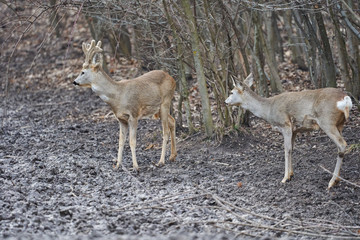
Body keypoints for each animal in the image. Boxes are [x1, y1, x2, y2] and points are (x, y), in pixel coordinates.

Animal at [72, 39, 176, 171]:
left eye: (83, 72)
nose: (74, 82)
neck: (118, 96)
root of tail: (173, 79)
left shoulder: (133, 114)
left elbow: (132, 141)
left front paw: (136, 166)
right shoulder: (121, 118)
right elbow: (121, 141)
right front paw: (117, 165)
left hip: (165, 102)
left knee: (165, 131)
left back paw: (161, 161)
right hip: (157, 109)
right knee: (172, 121)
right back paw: (172, 156)